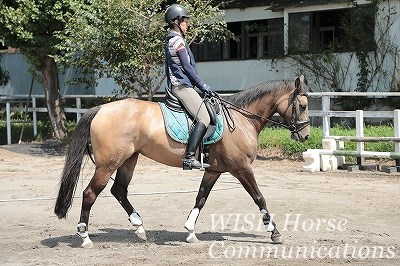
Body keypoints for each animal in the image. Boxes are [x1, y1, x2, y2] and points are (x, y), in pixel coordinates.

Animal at [54, 74, 310, 247]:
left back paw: (139, 227)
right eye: (303, 106)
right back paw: (85, 237)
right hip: (108, 164)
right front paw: (274, 232)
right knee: (90, 193)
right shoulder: (242, 168)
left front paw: (190, 231)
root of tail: (100, 109)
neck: (241, 119)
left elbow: (201, 198)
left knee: (119, 191)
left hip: (129, 159)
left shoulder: (214, 170)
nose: (306, 136)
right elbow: (259, 197)